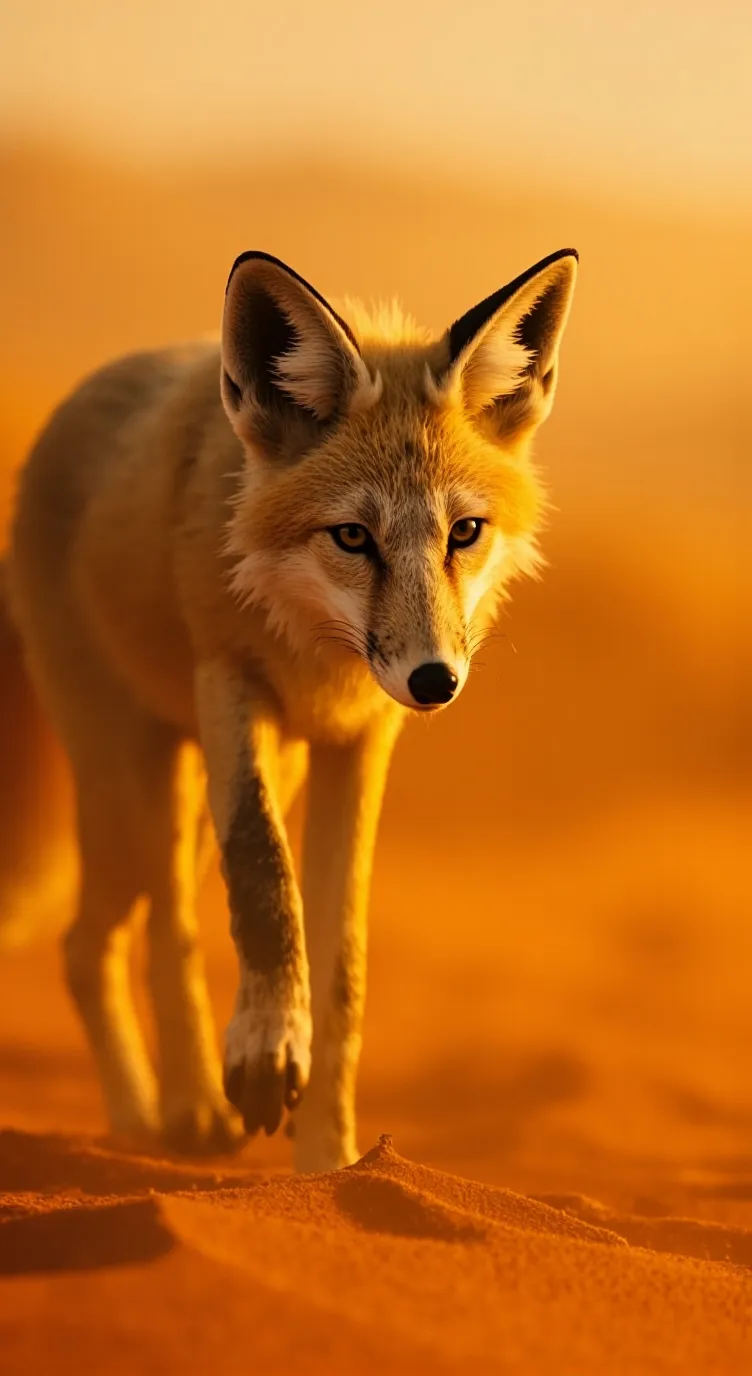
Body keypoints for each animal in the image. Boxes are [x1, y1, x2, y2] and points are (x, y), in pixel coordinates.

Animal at [2, 247, 577, 1172]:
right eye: (352, 537)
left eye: (465, 532)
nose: (435, 681)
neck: (319, 664)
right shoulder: (230, 682)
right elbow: (265, 878)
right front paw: (267, 1053)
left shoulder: (360, 739)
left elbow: (342, 959)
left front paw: (331, 1164)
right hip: (136, 783)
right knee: (118, 940)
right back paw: (168, 1116)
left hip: (210, 786)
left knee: (129, 935)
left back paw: (165, 1113)